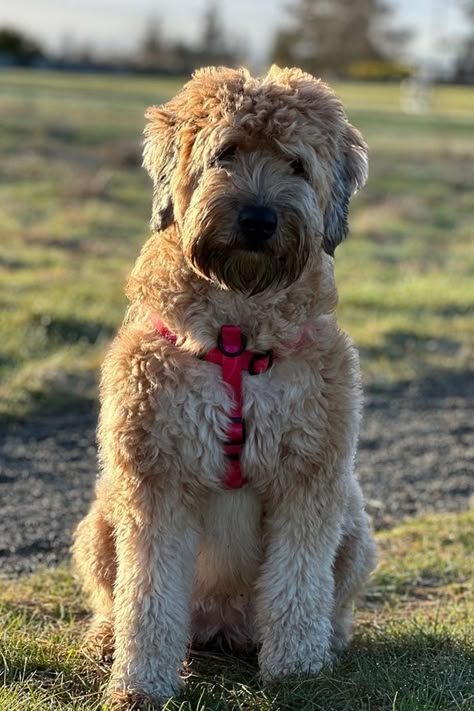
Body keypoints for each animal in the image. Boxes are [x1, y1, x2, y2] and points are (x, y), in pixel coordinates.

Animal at [73, 64, 378, 708]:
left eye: (296, 164)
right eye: (226, 152)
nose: (259, 220)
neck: (237, 328)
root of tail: (222, 627)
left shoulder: (310, 473)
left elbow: (297, 583)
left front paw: (297, 671)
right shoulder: (155, 476)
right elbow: (149, 594)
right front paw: (139, 684)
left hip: (355, 525)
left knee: (331, 599)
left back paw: (329, 642)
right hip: (102, 518)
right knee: (114, 598)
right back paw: (105, 639)